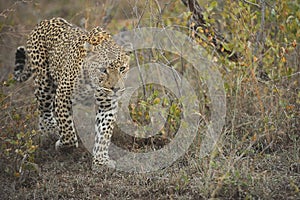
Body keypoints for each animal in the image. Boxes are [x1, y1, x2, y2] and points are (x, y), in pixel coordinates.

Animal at [13, 17, 130, 170]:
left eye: (122, 68)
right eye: (103, 70)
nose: (115, 89)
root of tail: (46, 21)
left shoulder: (107, 105)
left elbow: (104, 133)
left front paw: (101, 162)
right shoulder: (63, 96)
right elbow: (67, 131)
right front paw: (62, 145)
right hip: (44, 83)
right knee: (44, 109)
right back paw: (49, 132)